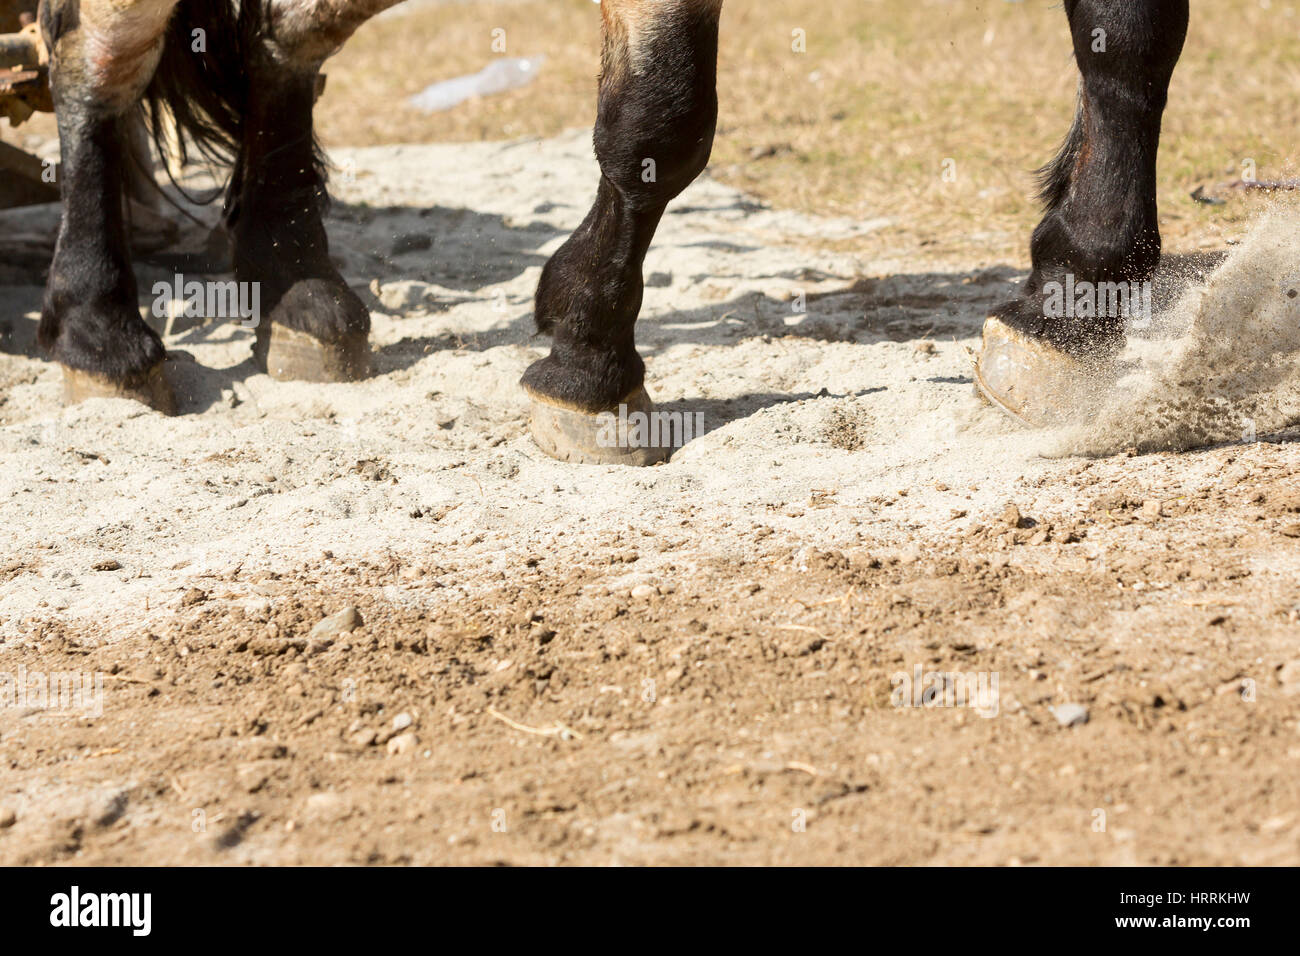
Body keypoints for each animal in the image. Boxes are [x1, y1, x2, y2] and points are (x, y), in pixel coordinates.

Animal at [26, 0, 1188, 459]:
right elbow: (659, 113)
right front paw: (587, 361)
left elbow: (1131, 34)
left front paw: (1073, 299)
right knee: (100, 49)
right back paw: (99, 325)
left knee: (281, 34)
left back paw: (299, 288)